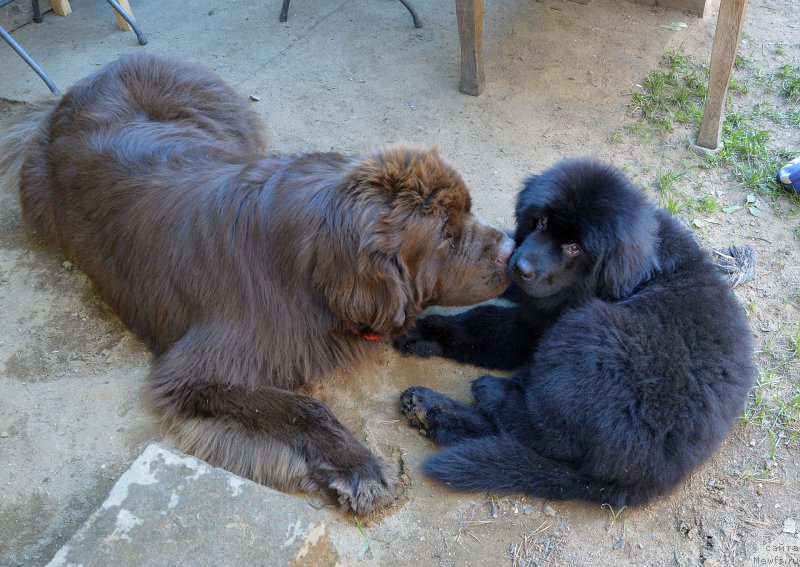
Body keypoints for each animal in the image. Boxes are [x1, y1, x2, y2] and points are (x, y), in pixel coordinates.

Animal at [0, 53, 512, 516]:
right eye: (445, 236)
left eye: (468, 212)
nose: (511, 248)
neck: (310, 272)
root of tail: (76, 89)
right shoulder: (195, 374)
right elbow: (304, 408)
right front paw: (360, 468)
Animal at [396, 158, 756, 508]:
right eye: (540, 223)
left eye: (573, 248)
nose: (521, 266)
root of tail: (647, 480)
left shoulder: (544, 324)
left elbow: (483, 323)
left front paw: (428, 328)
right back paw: (433, 413)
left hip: (591, 329)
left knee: (548, 435)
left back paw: (475, 397)